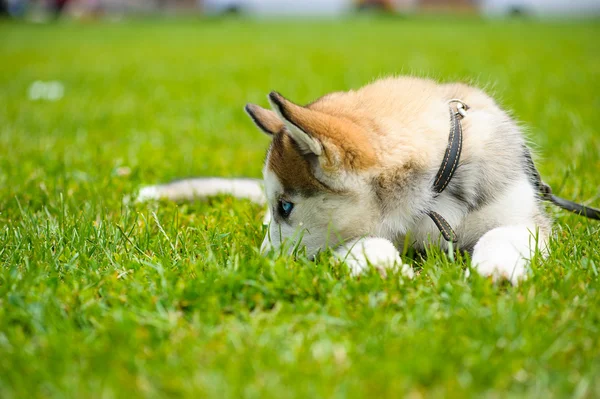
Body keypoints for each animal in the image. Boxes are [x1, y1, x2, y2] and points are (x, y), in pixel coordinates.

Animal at [138, 77, 552, 284]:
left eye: (285, 206)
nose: (260, 264)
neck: (432, 197)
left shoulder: (526, 220)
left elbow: (501, 235)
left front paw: (496, 271)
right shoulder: (349, 236)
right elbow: (365, 244)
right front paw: (384, 268)